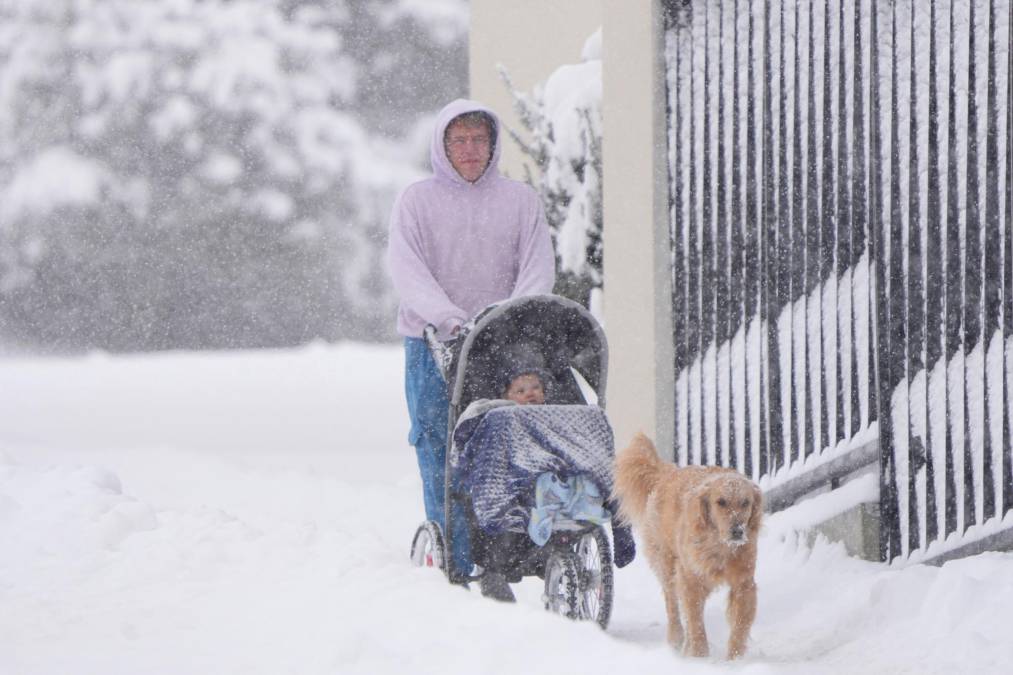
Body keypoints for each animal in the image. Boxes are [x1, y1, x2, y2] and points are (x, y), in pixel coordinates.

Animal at [607, 431, 761, 656]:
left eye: (745, 503)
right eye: (721, 502)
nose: (737, 531)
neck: (719, 546)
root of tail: (667, 472)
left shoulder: (744, 583)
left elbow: (740, 625)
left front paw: (735, 658)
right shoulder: (690, 578)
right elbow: (695, 621)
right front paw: (699, 655)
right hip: (667, 565)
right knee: (672, 603)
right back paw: (676, 638)